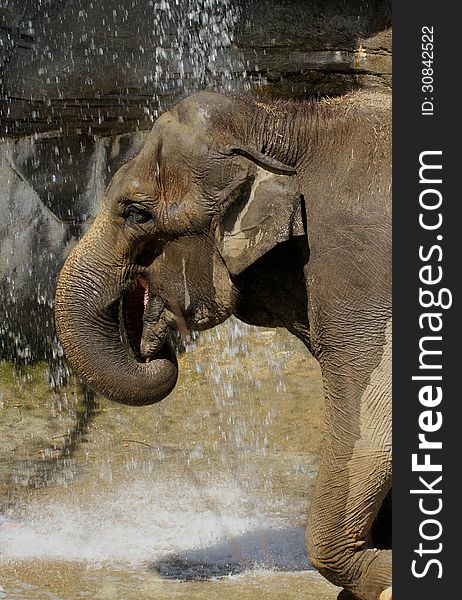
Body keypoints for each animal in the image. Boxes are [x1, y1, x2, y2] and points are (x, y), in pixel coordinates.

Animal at [56, 90, 392, 600]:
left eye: (136, 213)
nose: (157, 351)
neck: (281, 121)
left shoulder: (359, 272)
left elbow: (372, 413)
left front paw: (384, 576)